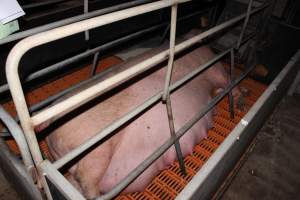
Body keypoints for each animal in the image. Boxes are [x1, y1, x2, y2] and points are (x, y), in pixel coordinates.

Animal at [44, 31, 240, 198]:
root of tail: (51, 133)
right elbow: (228, 81)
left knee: (77, 181)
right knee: (86, 180)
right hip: (97, 147)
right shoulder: (214, 69)